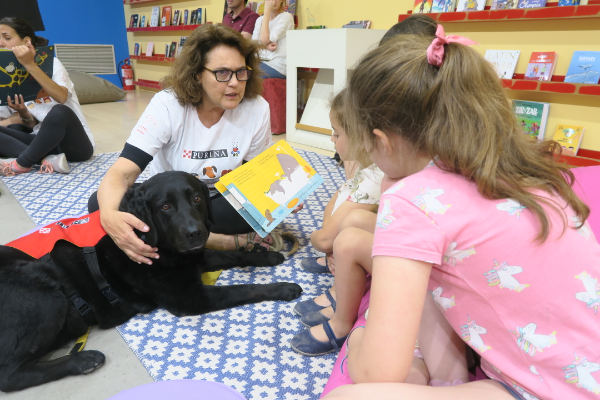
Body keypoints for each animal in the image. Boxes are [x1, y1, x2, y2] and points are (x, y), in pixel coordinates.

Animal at [0, 170, 300, 392]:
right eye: (165, 206)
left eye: (197, 199)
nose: (196, 233)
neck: (159, 247)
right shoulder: (190, 298)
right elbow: (245, 289)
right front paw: (284, 288)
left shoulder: (196, 258)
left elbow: (235, 255)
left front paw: (268, 255)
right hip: (45, 289)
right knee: (9, 376)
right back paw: (83, 359)